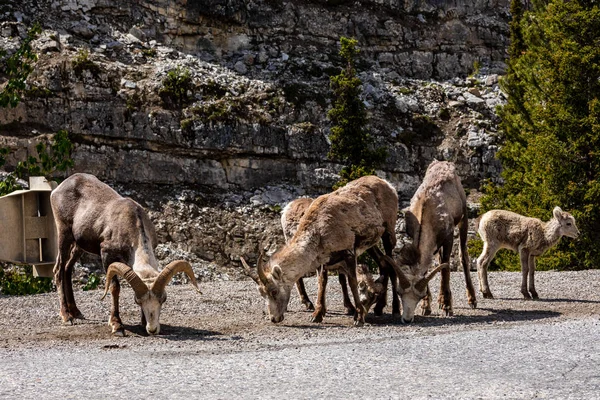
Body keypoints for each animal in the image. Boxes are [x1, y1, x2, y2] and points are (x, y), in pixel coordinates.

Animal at [50, 173, 200, 336]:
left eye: (163, 299)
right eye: (137, 300)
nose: (152, 329)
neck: (133, 224)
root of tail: (59, 188)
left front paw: (142, 323)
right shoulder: (107, 255)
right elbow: (114, 288)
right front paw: (117, 326)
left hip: (78, 246)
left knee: (67, 269)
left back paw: (76, 312)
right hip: (64, 234)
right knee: (58, 270)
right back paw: (67, 316)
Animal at [239, 175, 398, 324]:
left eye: (274, 291)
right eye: (261, 293)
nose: (274, 318)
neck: (318, 231)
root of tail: (388, 185)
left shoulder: (348, 253)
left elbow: (351, 282)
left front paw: (358, 316)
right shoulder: (325, 260)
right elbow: (322, 282)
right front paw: (317, 314)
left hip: (388, 232)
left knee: (391, 265)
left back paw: (393, 310)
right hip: (372, 244)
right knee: (383, 263)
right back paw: (379, 308)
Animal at [400, 161, 476, 324]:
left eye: (419, 296)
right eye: (400, 294)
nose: (407, 319)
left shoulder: (448, 238)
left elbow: (445, 268)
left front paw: (447, 308)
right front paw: (426, 307)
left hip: (464, 219)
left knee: (463, 256)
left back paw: (472, 300)